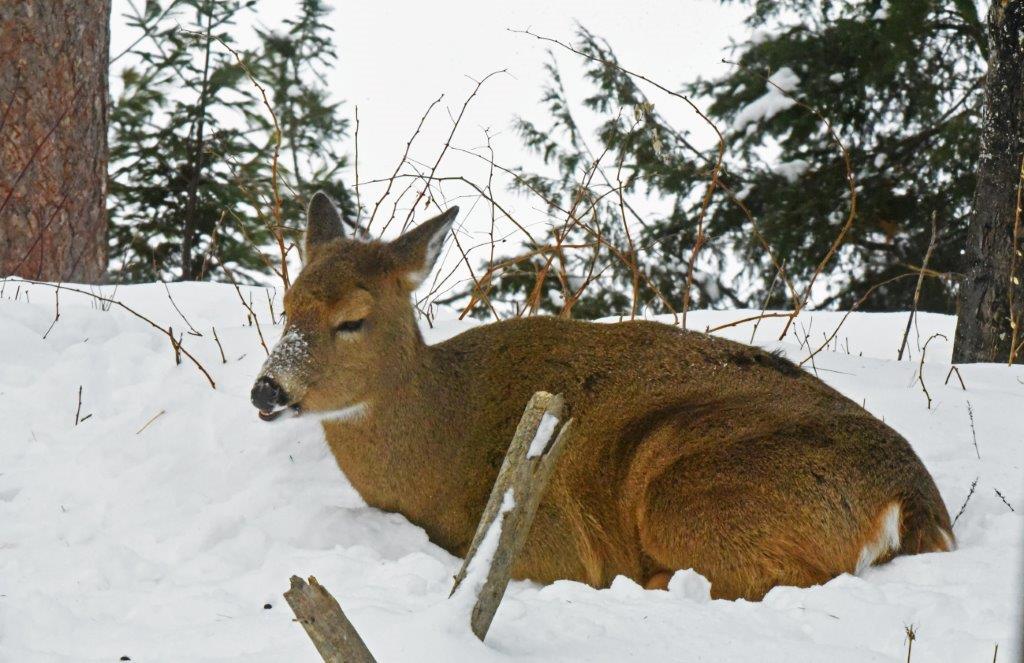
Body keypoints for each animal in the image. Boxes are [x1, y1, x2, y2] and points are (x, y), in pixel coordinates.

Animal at [250, 192, 954, 601]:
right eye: (286, 305)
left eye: (352, 320)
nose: (266, 388)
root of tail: (911, 501)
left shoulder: (544, 536)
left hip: (690, 490)